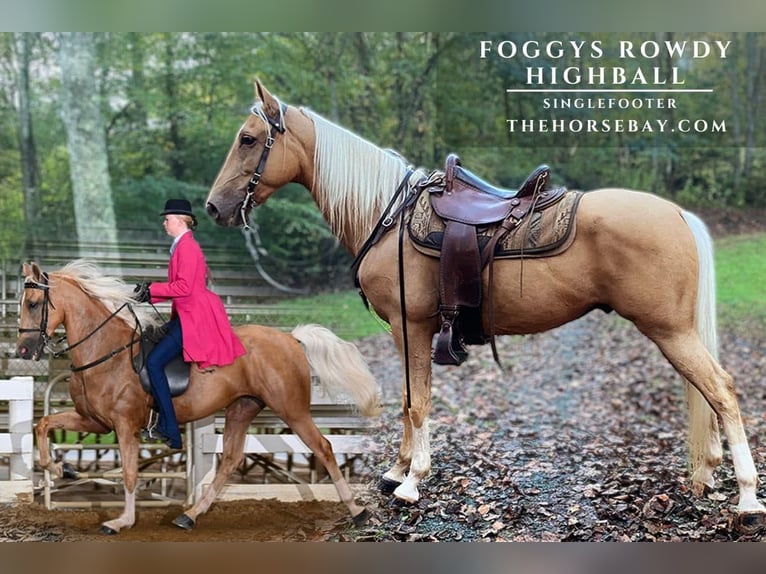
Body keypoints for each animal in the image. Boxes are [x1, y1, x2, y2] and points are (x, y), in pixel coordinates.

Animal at [15, 259, 381, 535]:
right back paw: (189, 515)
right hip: (242, 408)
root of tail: (290, 338)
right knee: (230, 460)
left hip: (292, 410)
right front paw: (61, 469)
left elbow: (130, 473)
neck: (105, 350)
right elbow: (42, 425)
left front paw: (122, 522)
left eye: (33, 304)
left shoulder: (124, 425)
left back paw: (357, 511)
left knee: (324, 447)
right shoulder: (93, 420)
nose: (23, 351)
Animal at [204, 80, 766, 532]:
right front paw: (395, 470)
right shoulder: (406, 331)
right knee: (706, 393)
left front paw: (413, 482)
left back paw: (746, 497)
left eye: (248, 139)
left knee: (722, 390)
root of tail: (677, 213)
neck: (388, 216)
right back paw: (706, 473)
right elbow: (407, 401)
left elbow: (417, 402)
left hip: (671, 331)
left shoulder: (410, 325)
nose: (213, 207)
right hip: (673, 331)